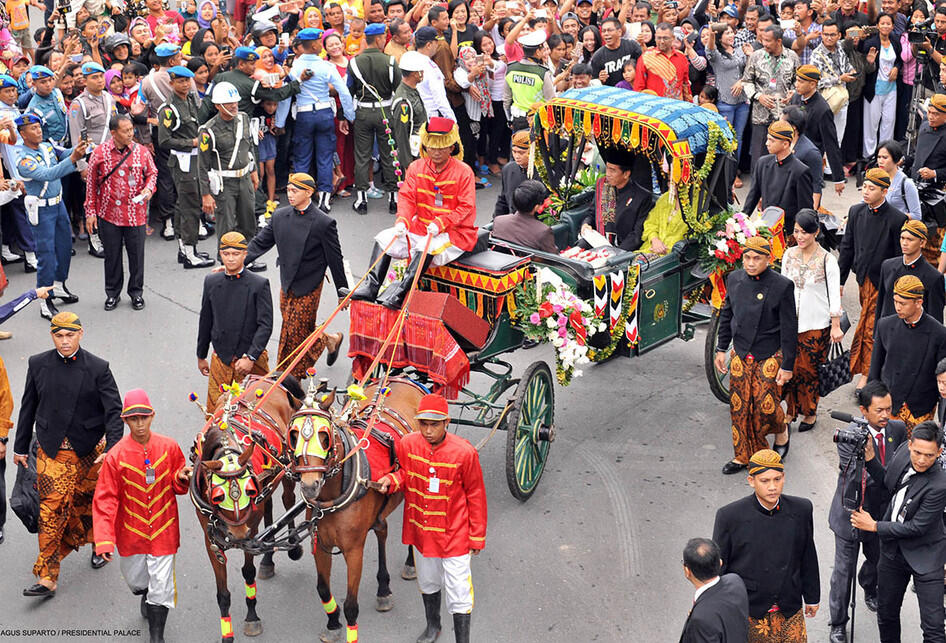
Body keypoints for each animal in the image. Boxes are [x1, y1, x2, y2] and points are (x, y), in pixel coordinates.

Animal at [187, 374, 298, 640]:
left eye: (249, 490)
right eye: (217, 496)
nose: (237, 536)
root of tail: (265, 379)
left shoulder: (250, 531)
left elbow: (248, 572)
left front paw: (252, 616)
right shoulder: (211, 538)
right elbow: (222, 592)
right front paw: (227, 632)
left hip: (288, 464)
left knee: (288, 499)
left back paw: (291, 545)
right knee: (268, 506)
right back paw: (268, 558)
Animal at [286, 380, 422, 640]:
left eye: (324, 436)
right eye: (293, 435)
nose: (309, 485)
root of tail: (406, 381)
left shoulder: (354, 550)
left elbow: (351, 604)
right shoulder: (322, 545)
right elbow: (322, 588)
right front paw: (332, 622)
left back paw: (411, 563)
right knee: (381, 528)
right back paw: (383, 587)